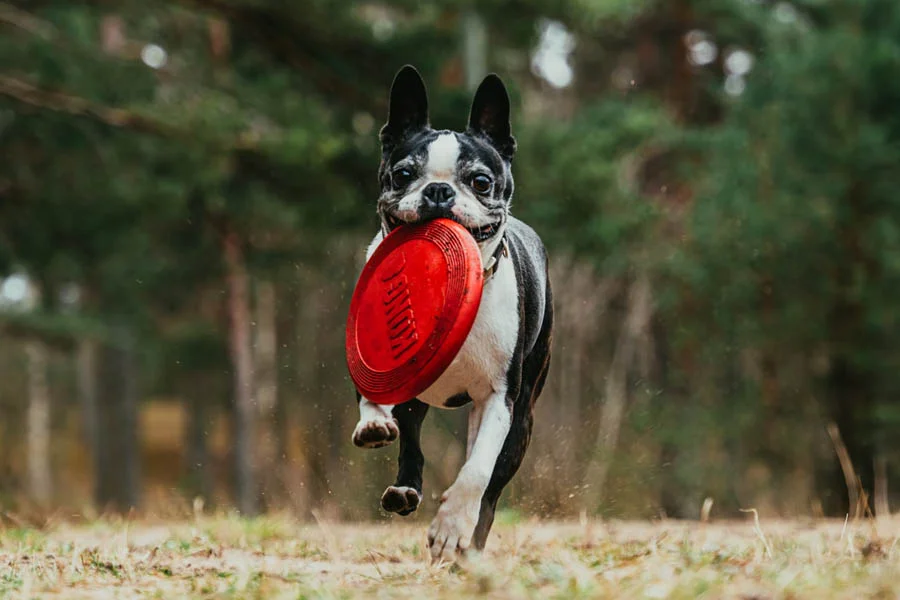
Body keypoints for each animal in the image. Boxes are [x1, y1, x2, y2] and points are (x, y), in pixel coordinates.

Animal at [352, 65, 556, 564]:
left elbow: (477, 470)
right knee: (411, 441)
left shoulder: (501, 399)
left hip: (523, 418)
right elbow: (371, 393)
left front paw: (451, 528)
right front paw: (372, 421)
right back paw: (403, 489)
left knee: (492, 487)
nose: (439, 190)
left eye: (480, 182)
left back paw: (470, 544)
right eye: (403, 174)